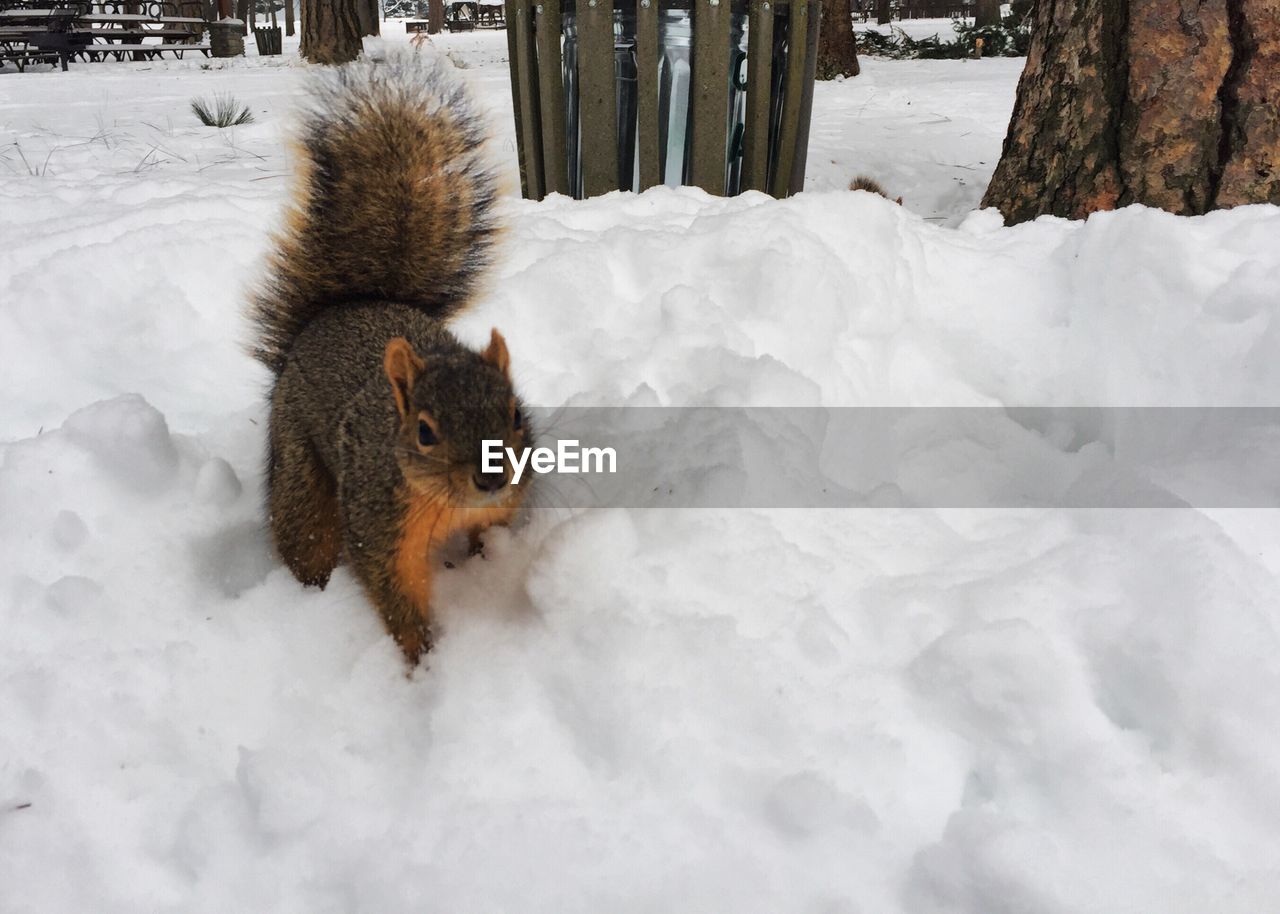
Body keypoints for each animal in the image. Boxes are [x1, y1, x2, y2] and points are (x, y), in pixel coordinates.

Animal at [247, 51, 527, 660]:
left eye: (516, 414)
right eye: (423, 431)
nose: (492, 478)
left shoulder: (505, 505)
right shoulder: (377, 522)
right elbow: (393, 590)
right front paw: (421, 657)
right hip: (300, 474)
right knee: (305, 536)